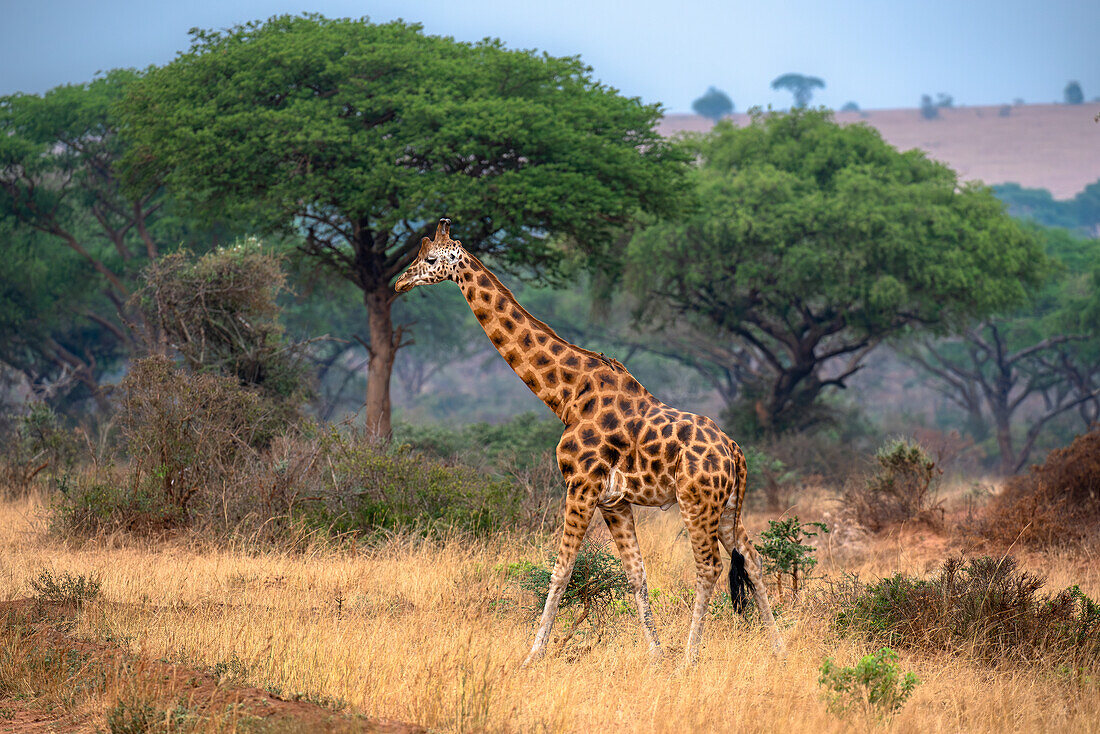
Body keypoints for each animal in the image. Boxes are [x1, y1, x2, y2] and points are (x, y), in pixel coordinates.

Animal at [396, 217, 783, 664]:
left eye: (430, 259)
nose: (399, 282)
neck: (566, 395)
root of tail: (736, 452)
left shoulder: (580, 486)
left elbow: (561, 569)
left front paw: (532, 656)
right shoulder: (614, 501)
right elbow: (636, 575)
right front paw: (655, 655)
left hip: (697, 503)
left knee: (710, 568)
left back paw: (690, 658)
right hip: (727, 506)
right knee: (752, 559)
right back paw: (779, 648)